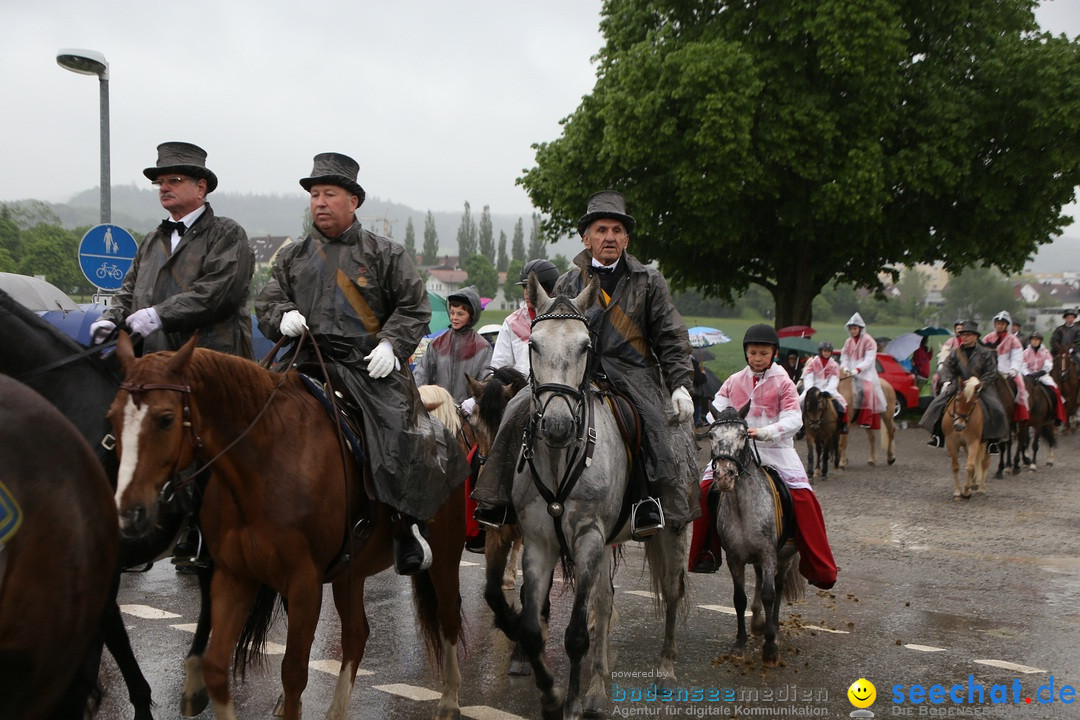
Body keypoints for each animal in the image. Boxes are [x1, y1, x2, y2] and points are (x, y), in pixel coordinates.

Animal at [107, 334, 466, 720]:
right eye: (112, 416)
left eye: (165, 418)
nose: (128, 511)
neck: (264, 465)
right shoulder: (235, 576)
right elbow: (216, 668)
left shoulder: (304, 583)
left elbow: (294, 673)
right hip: (350, 573)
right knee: (357, 634)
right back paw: (337, 710)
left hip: (445, 556)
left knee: (449, 616)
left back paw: (449, 699)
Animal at [479, 278, 682, 720]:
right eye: (534, 344)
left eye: (585, 346)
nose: (557, 425)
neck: (560, 459)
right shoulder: (539, 542)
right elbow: (532, 628)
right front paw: (553, 695)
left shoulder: (588, 537)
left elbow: (574, 635)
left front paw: (569, 702)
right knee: (604, 603)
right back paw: (598, 690)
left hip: (671, 529)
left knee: (672, 593)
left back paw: (665, 669)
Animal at [708, 408, 803, 669]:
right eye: (711, 435)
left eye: (743, 435)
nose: (724, 476)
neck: (743, 509)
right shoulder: (734, 557)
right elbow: (739, 598)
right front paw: (740, 643)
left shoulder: (768, 553)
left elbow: (770, 594)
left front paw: (770, 648)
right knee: (760, 581)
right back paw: (758, 622)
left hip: (785, 558)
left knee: (777, 587)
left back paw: (774, 627)